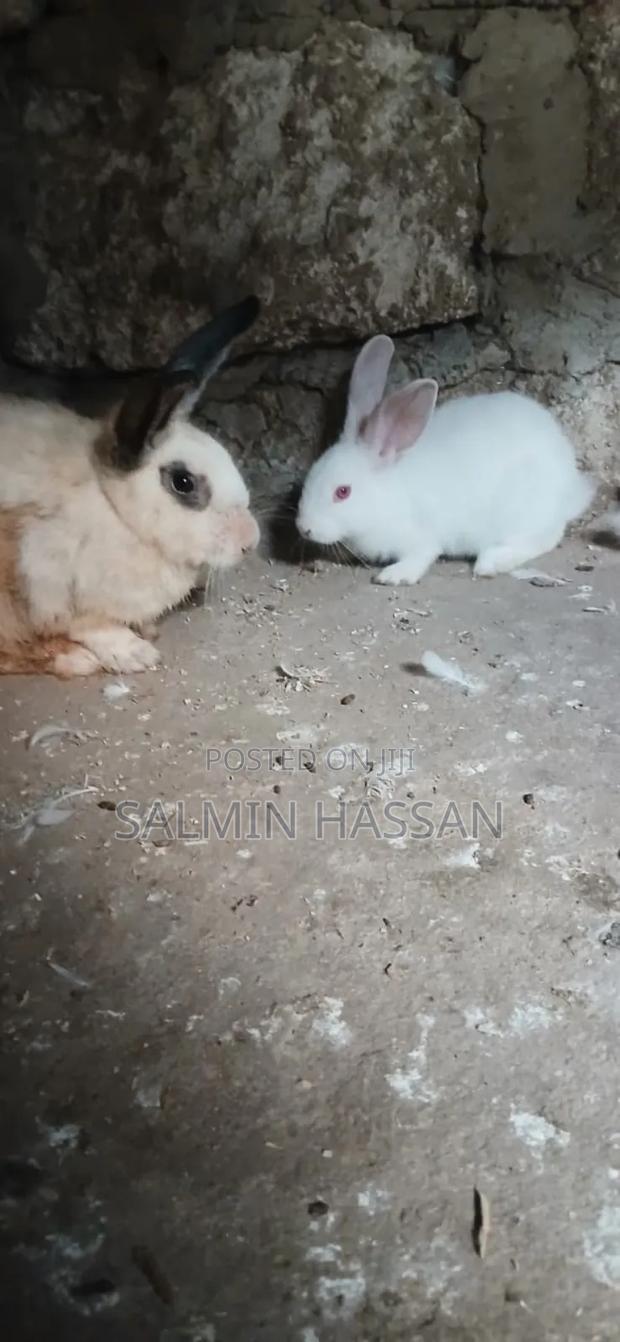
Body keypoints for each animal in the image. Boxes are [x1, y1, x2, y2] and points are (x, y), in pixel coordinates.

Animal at [0, 297, 261, 677]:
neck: (117, 513)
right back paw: (76, 660)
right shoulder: (47, 581)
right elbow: (91, 625)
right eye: (183, 482)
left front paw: (145, 633)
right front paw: (135, 653)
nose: (250, 542)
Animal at [297, 335, 597, 585]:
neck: (386, 495)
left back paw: (489, 563)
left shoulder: (420, 539)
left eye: (342, 492)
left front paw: (393, 576)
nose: (304, 528)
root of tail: (570, 485)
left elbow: (421, 556)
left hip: (521, 512)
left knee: (543, 538)